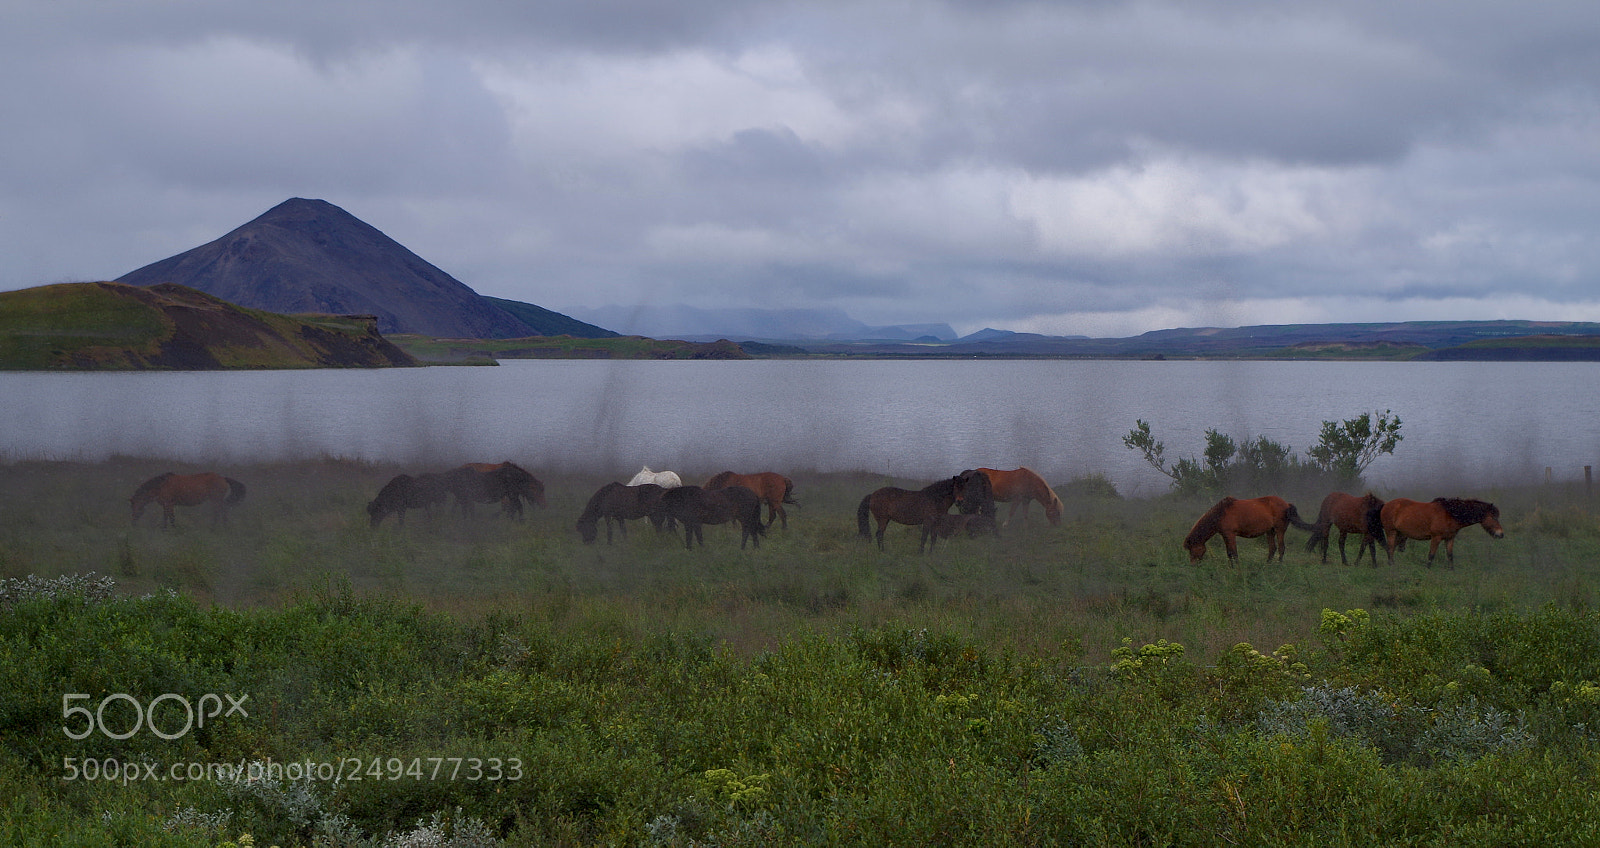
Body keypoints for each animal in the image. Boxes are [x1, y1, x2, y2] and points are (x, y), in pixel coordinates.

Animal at [1184, 496, 1318, 560]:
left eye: (1192, 550)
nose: (1193, 565)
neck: (1221, 513)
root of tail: (1287, 504)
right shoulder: (1225, 535)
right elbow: (1229, 554)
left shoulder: (1230, 535)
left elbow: (1234, 553)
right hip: (1270, 531)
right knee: (1272, 549)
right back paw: (1267, 565)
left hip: (1280, 530)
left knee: (1281, 548)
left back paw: (1278, 565)